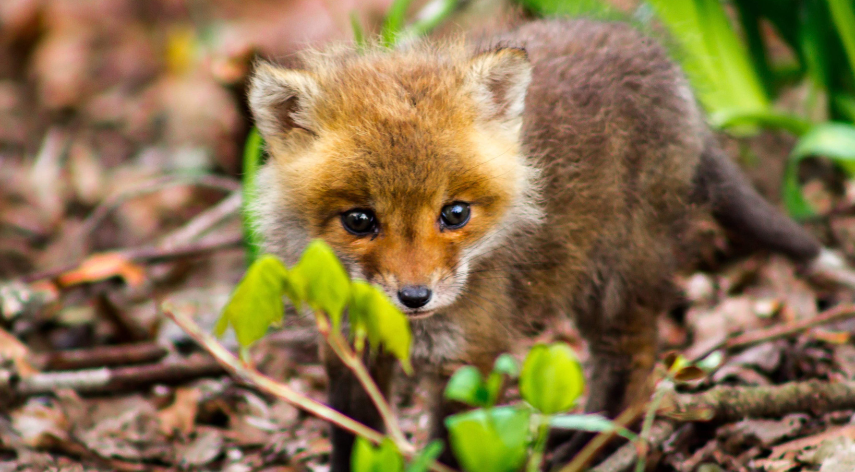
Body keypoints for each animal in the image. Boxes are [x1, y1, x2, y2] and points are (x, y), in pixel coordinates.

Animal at [247, 18, 843, 470]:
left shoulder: (470, 357)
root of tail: (653, 55)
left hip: (617, 275)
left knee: (632, 364)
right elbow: (353, 441)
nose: (415, 297)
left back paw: (594, 444)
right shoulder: (351, 350)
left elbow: (457, 446)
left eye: (454, 214)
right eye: (359, 220)